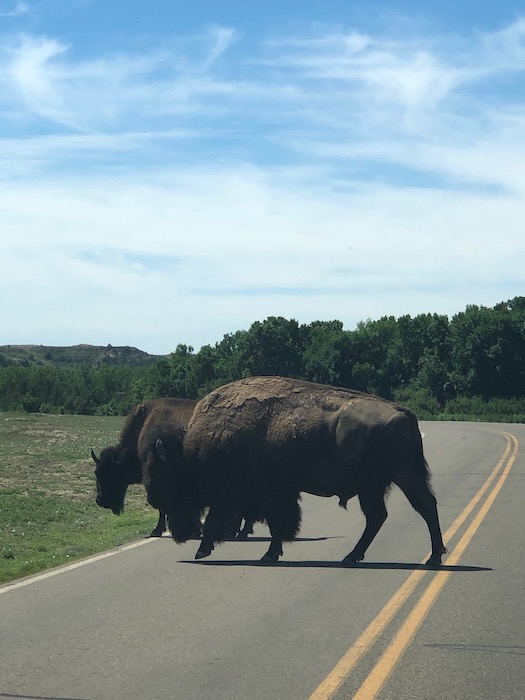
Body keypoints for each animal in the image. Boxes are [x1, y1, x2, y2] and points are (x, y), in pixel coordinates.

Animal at [144, 374, 446, 568]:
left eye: (169, 479)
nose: (153, 500)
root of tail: (403, 412)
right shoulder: (279, 492)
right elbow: (278, 524)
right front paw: (272, 553)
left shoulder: (240, 494)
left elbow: (230, 522)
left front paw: (203, 550)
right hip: (404, 475)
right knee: (424, 505)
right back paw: (433, 556)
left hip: (373, 485)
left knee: (380, 516)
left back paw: (352, 557)